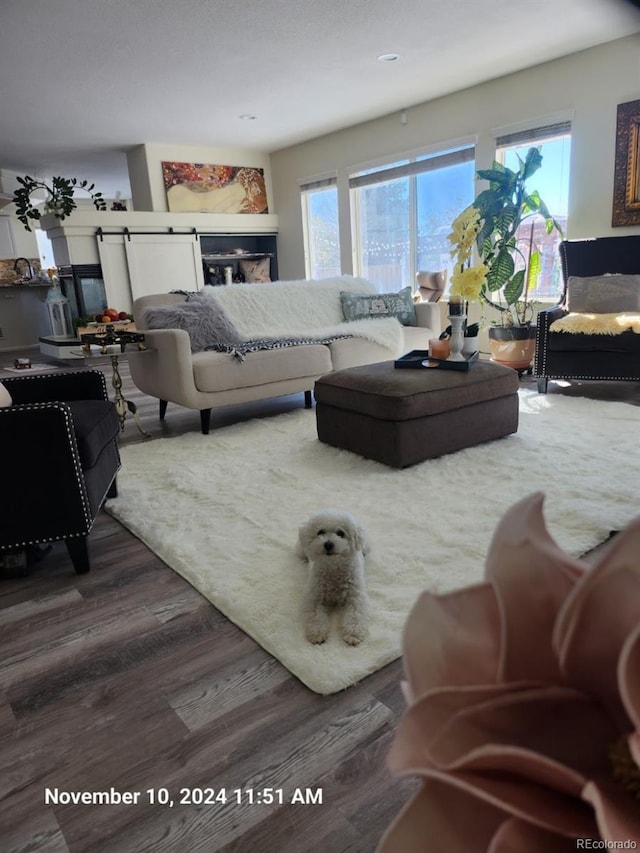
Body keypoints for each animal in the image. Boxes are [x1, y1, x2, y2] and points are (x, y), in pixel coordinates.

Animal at [296, 506, 370, 644]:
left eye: (340, 533)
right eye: (320, 532)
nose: (328, 544)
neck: (334, 566)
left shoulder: (356, 596)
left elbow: (355, 615)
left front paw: (353, 634)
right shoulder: (314, 597)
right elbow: (315, 615)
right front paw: (317, 633)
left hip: (366, 547)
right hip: (300, 550)